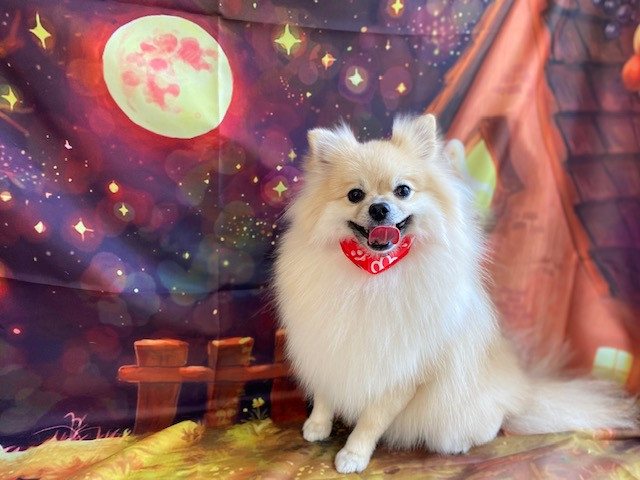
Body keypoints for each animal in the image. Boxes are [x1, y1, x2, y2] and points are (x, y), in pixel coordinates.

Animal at [273, 113, 638, 474]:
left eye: (403, 191)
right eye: (354, 195)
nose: (379, 208)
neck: (374, 274)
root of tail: (522, 390)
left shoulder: (402, 369)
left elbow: (372, 420)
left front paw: (353, 455)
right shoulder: (327, 343)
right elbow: (325, 391)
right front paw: (317, 425)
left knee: (491, 423)